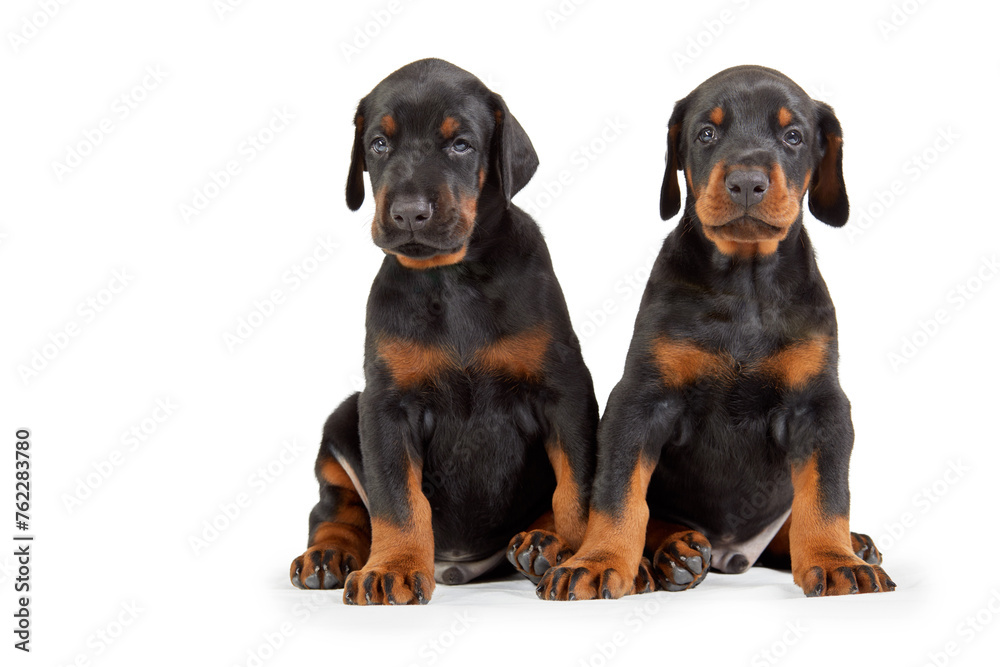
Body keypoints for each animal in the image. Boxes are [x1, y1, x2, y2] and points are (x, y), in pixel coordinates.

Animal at [290, 60, 600, 604]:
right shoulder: (386, 404)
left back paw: (540, 543)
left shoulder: (565, 388)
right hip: (345, 415)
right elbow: (397, 498)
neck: (452, 278)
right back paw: (327, 555)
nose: (409, 212)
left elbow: (574, 486)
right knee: (332, 507)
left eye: (461, 145)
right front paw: (391, 567)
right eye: (378, 144)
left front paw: (570, 550)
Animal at [520, 66, 896, 600]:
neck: (745, 284)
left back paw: (854, 545)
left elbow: (826, 496)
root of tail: (729, 553)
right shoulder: (640, 400)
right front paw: (597, 562)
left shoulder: (820, 405)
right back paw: (663, 552)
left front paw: (834, 558)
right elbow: (617, 493)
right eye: (706, 134)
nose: (747, 182)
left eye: (794, 136)